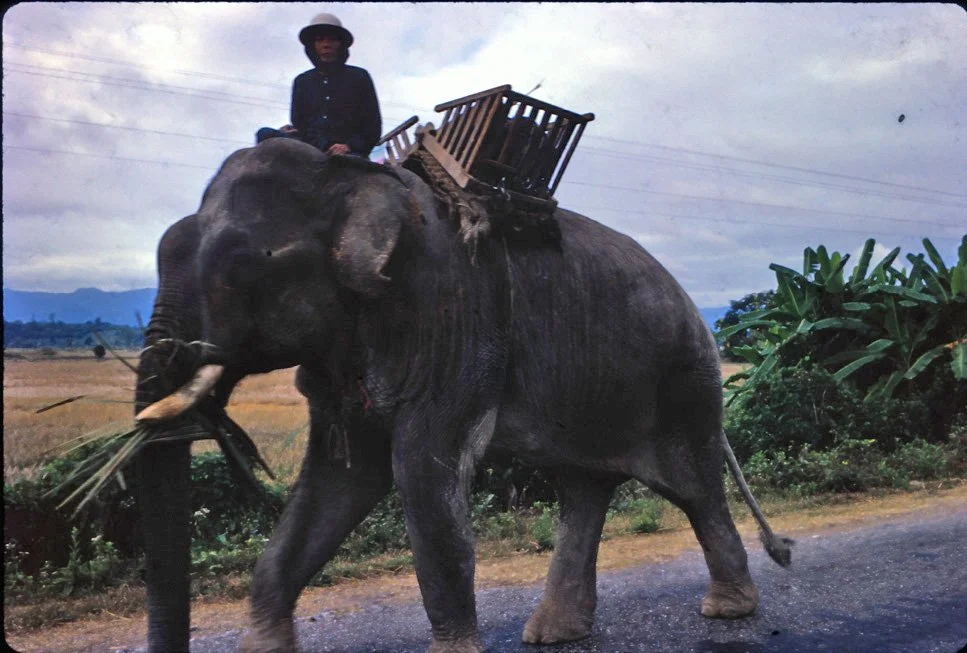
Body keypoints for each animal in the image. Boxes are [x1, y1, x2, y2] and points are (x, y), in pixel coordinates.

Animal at [133, 137, 791, 653]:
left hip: (685, 381)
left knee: (693, 488)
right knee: (584, 490)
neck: (349, 178)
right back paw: (556, 634)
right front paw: (265, 648)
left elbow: (421, 468)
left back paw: (727, 611)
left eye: (243, 268)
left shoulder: (451, 316)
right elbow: (339, 478)